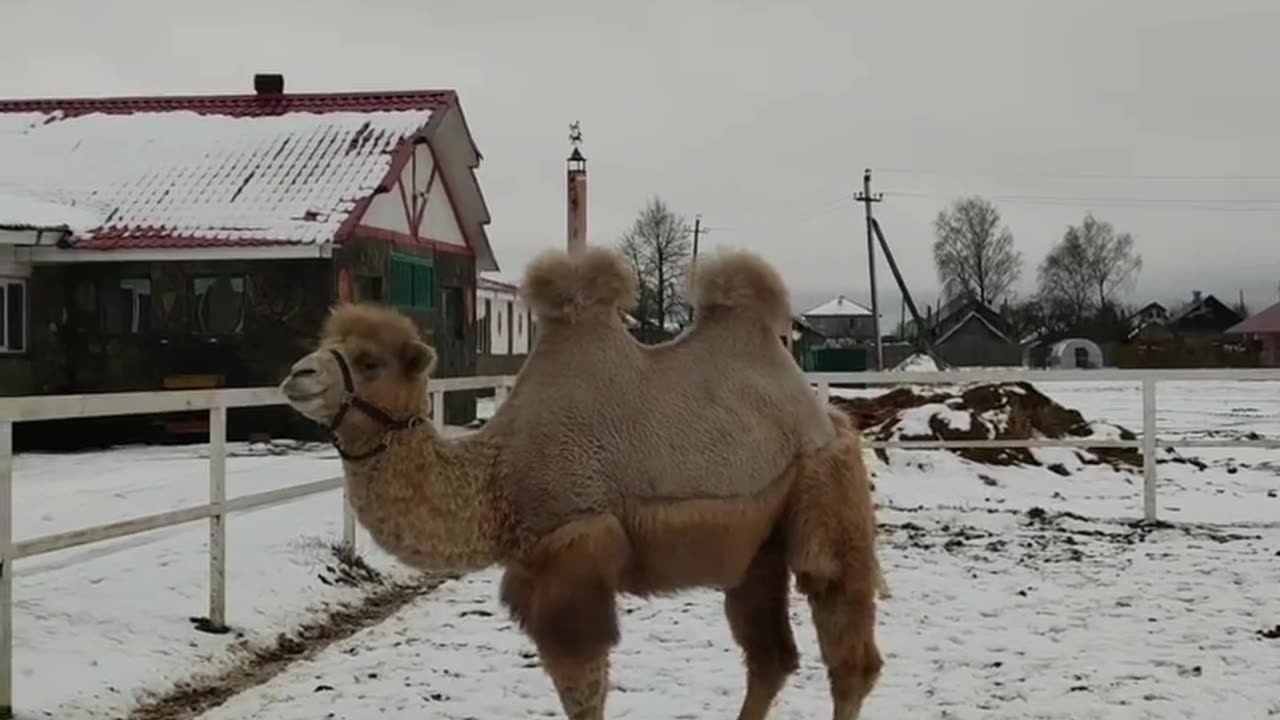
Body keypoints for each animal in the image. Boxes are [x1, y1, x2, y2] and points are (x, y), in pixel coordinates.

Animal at [279, 244, 880, 717]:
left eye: (370, 361)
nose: (297, 375)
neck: (496, 472)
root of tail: (823, 413)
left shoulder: (574, 550)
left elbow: (583, 695)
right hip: (757, 543)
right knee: (771, 657)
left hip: (825, 489)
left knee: (847, 642)